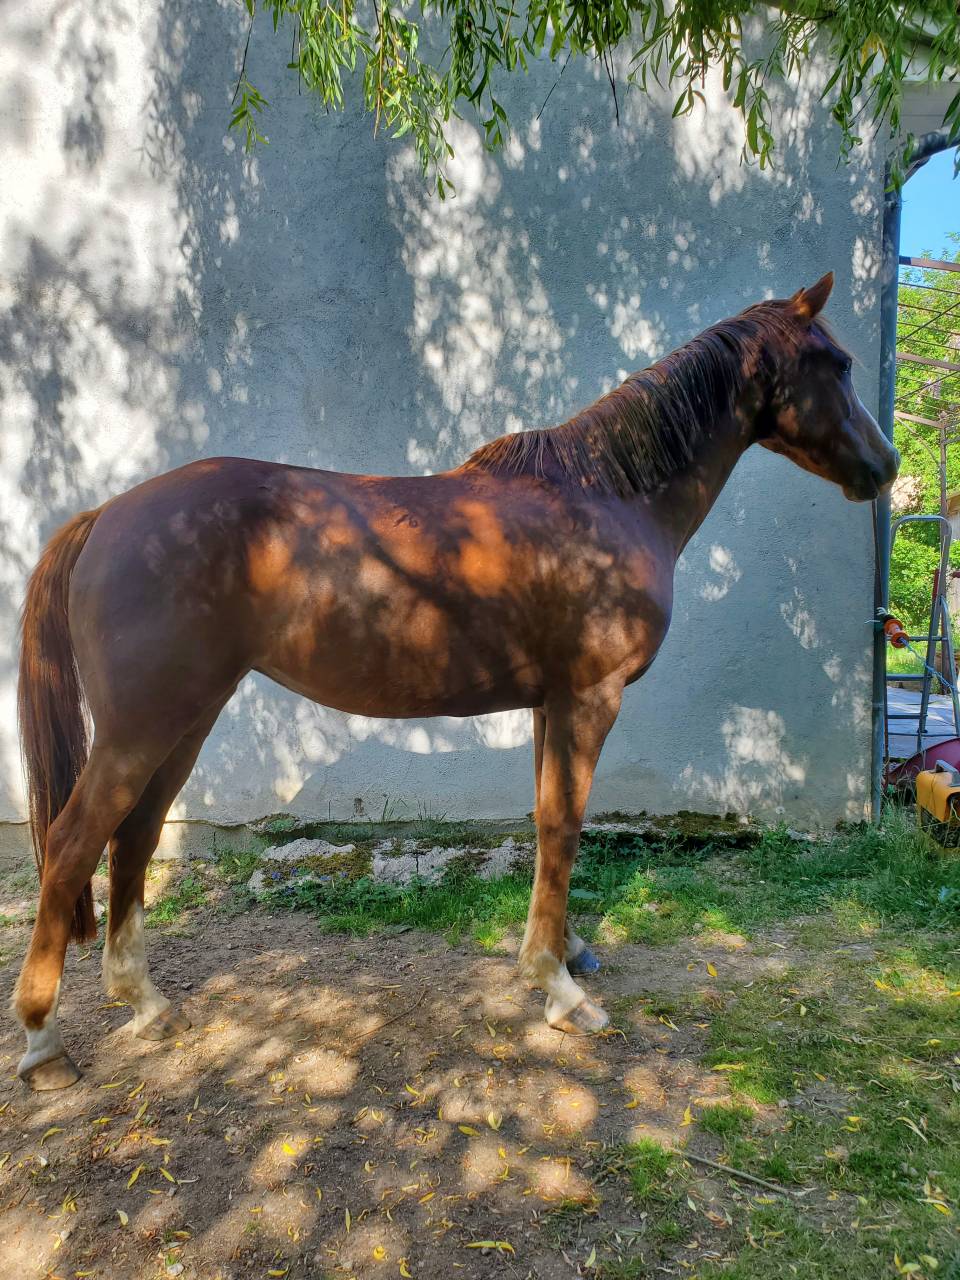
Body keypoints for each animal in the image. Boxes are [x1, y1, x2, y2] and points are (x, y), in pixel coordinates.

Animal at [13, 271, 898, 1090]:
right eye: (835, 363)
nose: (885, 467)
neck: (607, 499)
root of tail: (107, 516)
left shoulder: (551, 705)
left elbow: (549, 821)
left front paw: (563, 952)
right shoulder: (590, 699)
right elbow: (564, 827)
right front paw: (560, 991)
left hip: (186, 718)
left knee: (133, 839)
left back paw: (147, 1003)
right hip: (143, 726)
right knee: (71, 846)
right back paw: (43, 1042)